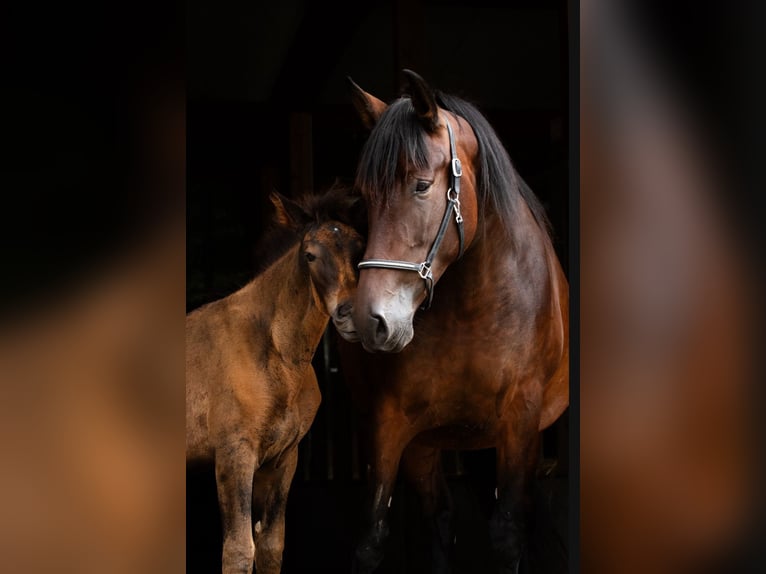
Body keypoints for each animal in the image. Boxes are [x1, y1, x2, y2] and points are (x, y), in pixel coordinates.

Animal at [186, 185, 365, 574]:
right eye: (310, 255)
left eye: (360, 250)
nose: (351, 314)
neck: (279, 356)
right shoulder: (234, 454)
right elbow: (239, 550)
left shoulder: (282, 460)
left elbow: (270, 546)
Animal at [338, 70, 569, 573]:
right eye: (364, 198)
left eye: (422, 186)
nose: (370, 321)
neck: (472, 311)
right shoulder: (392, 422)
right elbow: (371, 537)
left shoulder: (519, 422)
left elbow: (508, 533)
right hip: (429, 445)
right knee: (440, 519)